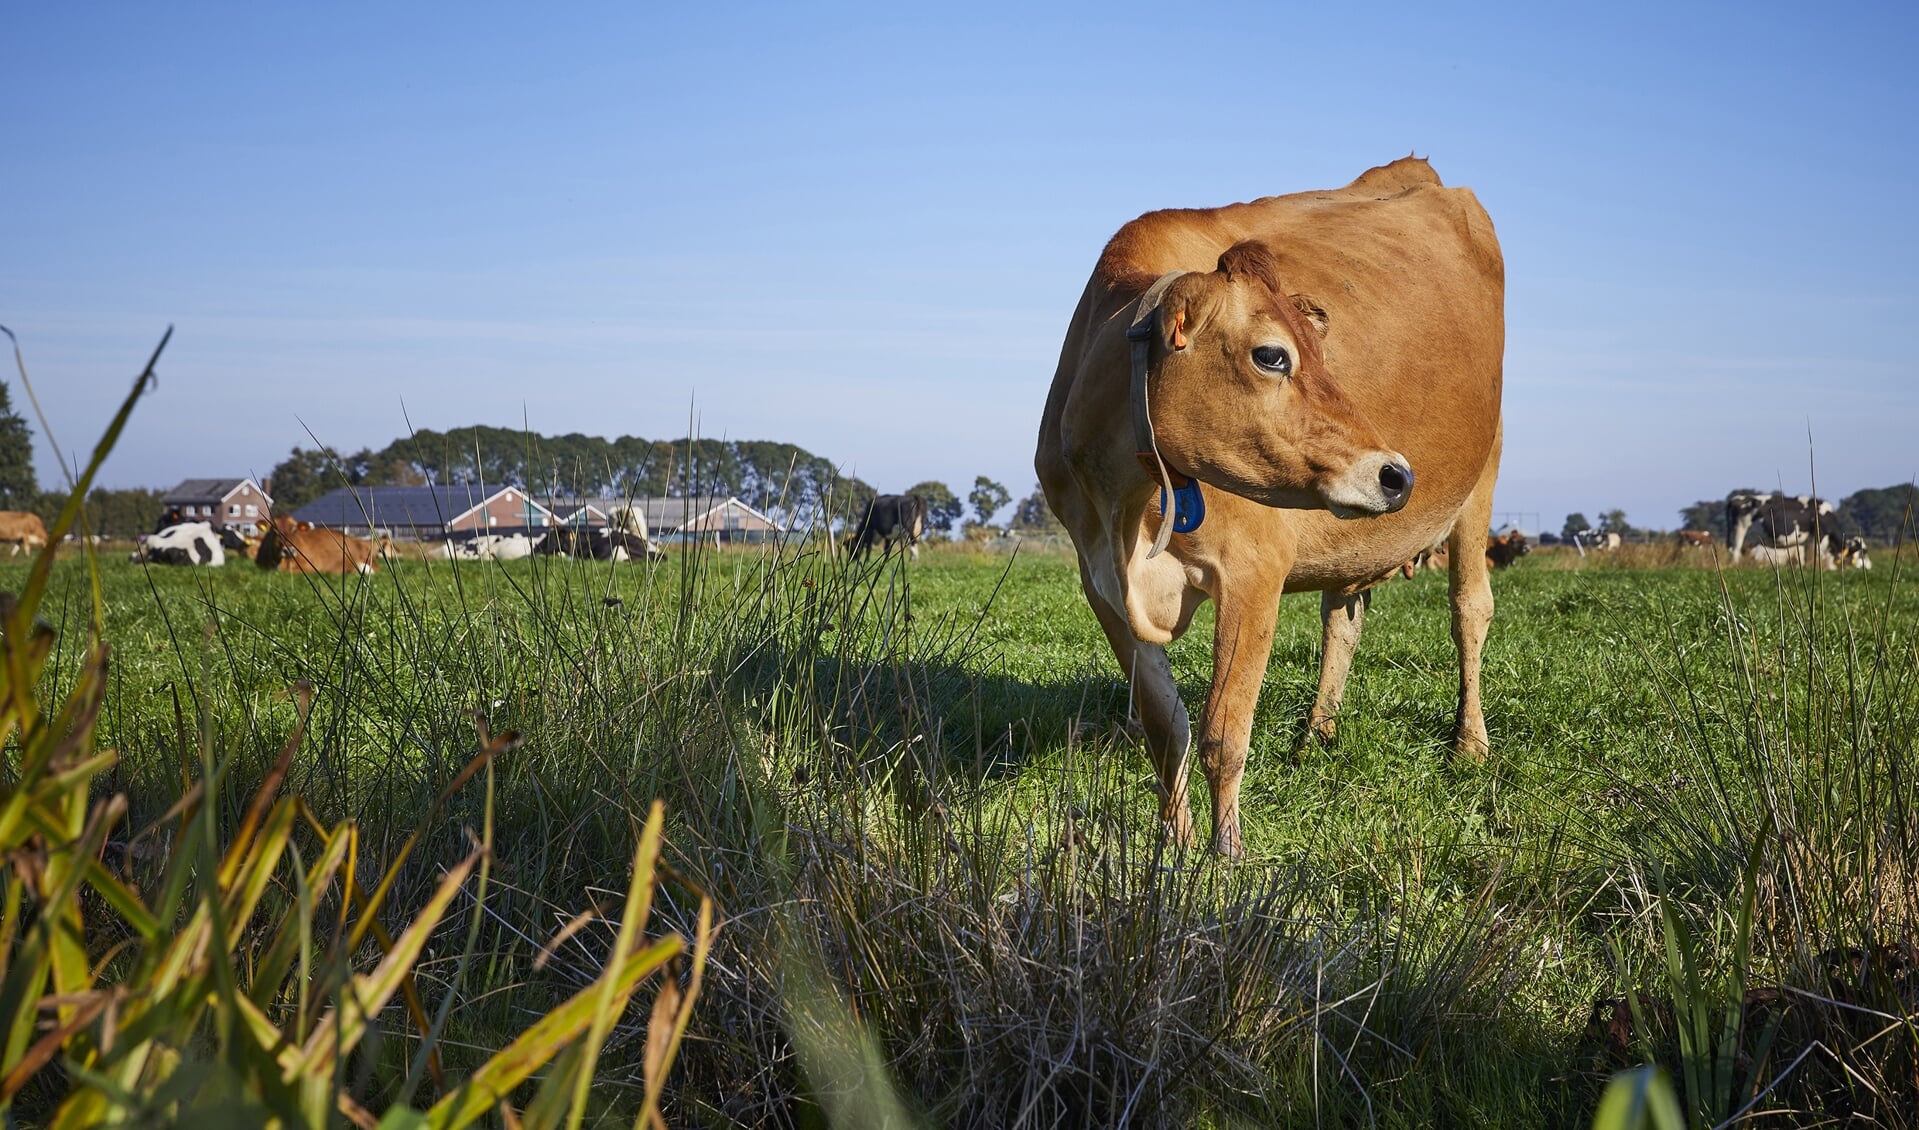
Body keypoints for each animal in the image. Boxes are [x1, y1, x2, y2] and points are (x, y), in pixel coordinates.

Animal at [1043, 156, 1504, 855]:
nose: (1396, 474)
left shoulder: (1254, 570)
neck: (1128, 507)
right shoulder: (1098, 579)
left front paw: (1225, 853)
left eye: (1321, 352)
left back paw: (1469, 742)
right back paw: (1317, 735)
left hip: (1482, 477)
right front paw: (1172, 845)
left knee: (1469, 609)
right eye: (1270, 354)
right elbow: (1164, 727)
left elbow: (1223, 734)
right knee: (1343, 618)